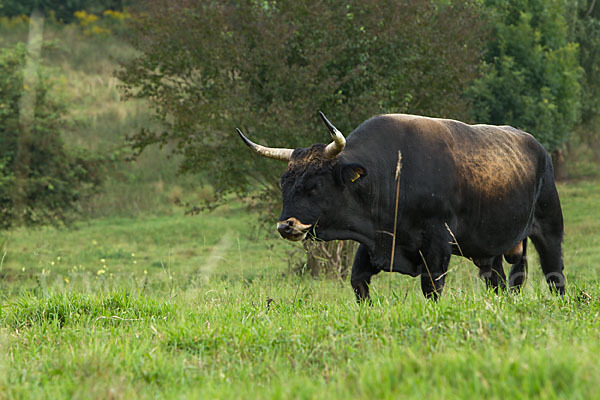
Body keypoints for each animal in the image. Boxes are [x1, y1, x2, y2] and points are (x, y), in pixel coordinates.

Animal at [237, 112, 564, 300]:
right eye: (284, 184)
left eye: (314, 185)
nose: (285, 225)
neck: (392, 172)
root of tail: (536, 145)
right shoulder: (375, 242)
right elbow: (358, 283)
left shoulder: (436, 243)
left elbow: (431, 289)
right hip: (489, 250)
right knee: (498, 282)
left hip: (549, 227)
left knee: (555, 274)